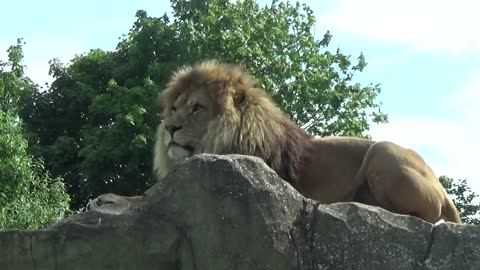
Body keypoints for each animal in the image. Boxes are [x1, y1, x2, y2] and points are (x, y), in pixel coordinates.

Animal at [88, 60, 464, 224]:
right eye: (175, 107)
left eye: (197, 108)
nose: (170, 128)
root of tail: (443, 191)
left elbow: (146, 197)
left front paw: (109, 199)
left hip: (383, 151)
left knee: (422, 217)